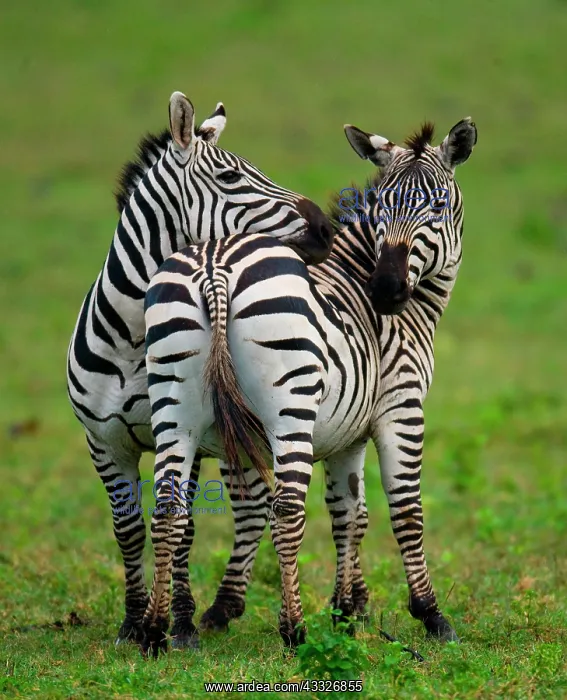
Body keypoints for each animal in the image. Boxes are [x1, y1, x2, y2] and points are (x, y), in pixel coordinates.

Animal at [66, 90, 335, 647]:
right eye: (231, 177)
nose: (325, 228)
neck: (130, 335)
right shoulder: (103, 441)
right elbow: (128, 528)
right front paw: (133, 620)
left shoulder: (181, 433)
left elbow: (185, 525)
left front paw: (181, 621)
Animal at [141, 117, 477, 655]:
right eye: (382, 207)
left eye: (439, 206)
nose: (385, 289)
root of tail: (216, 266)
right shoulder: (401, 408)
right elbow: (405, 512)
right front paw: (429, 613)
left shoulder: (347, 435)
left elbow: (350, 513)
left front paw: (347, 610)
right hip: (289, 408)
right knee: (286, 511)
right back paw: (294, 629)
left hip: (174, 407)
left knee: (169, 508)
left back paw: (154, 631)